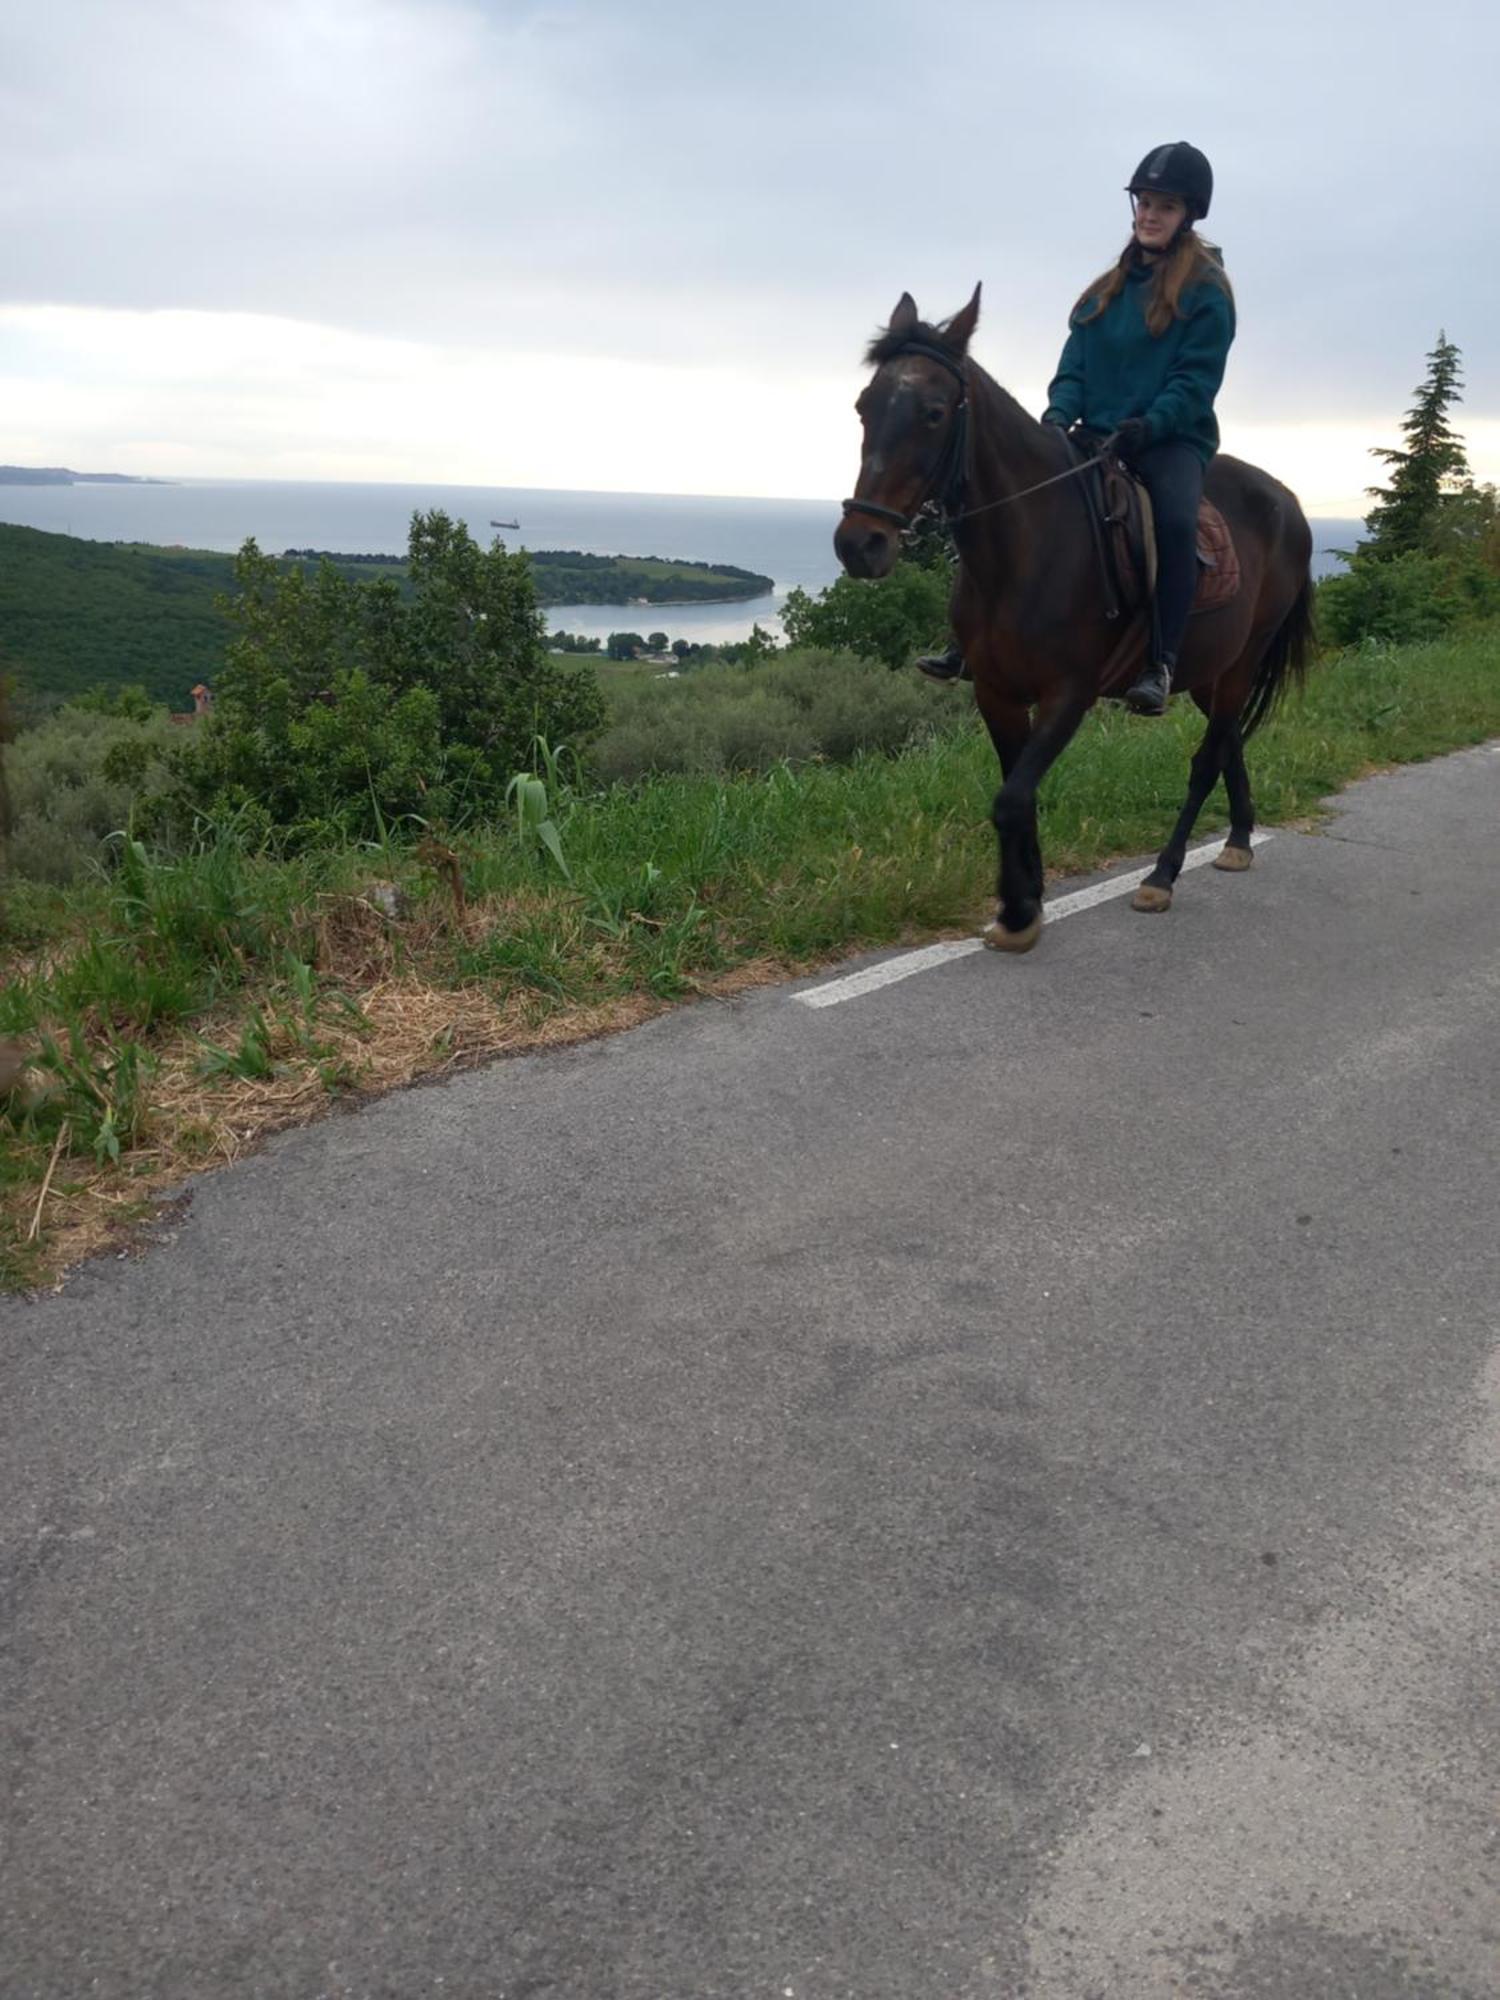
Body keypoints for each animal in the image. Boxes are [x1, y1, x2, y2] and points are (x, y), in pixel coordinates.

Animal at [836, 284, 1312, 960]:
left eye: (933, 412)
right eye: (864, 408)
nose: (860, 544)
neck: (1028, 546)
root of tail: (1292, 506)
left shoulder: (1070, 692)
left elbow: (1011, 798)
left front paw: (1017, 909)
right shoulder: (996, 692)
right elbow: (1018, 793)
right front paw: (1026, 896)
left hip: (1242, 663)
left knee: (1206, 760)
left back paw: (1162, 875)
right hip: (1209, 674)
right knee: (1227, 748)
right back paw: (1240, 840)